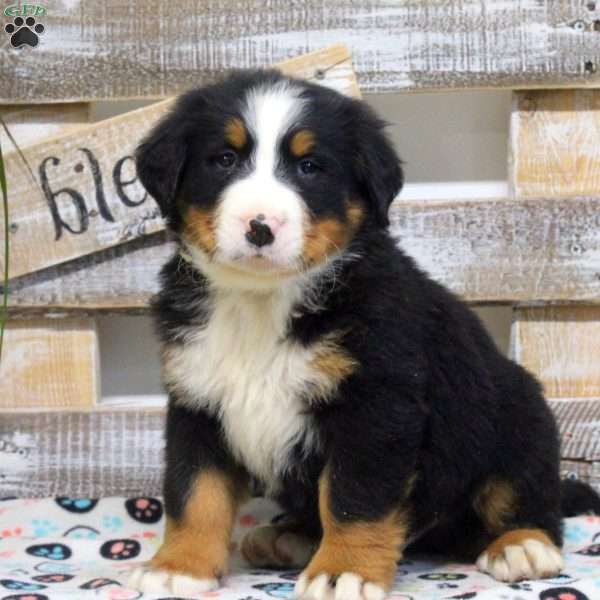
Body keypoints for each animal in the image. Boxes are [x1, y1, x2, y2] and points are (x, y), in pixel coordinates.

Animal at [127, 71, 600, 600]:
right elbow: (195, 491)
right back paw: (289, 537)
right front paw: (180, 566)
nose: (260, 227)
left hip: (517, 415)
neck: (262, 302)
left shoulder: (376, 407)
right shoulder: (198, 399)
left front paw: (343, 571)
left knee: (526, 495)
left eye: (310, 167)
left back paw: (521, 545)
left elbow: (354, 498)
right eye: (225, 159)